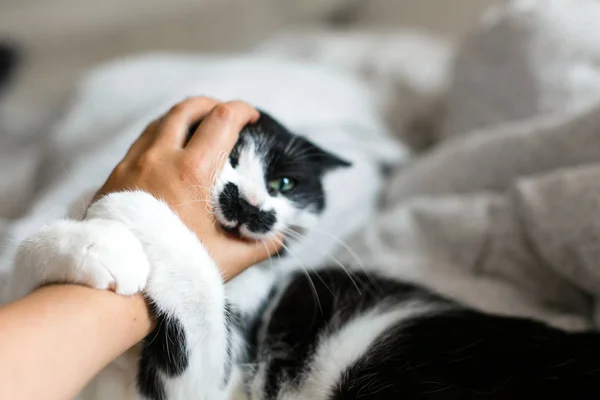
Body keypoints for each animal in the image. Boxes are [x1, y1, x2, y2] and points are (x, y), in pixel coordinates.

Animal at [7, 107, 600, 400]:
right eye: (229, 160)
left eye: (285, 183)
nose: (250, 203)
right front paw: (91, 241)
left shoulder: (211, 387)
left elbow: (199, 288)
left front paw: (137, 207)